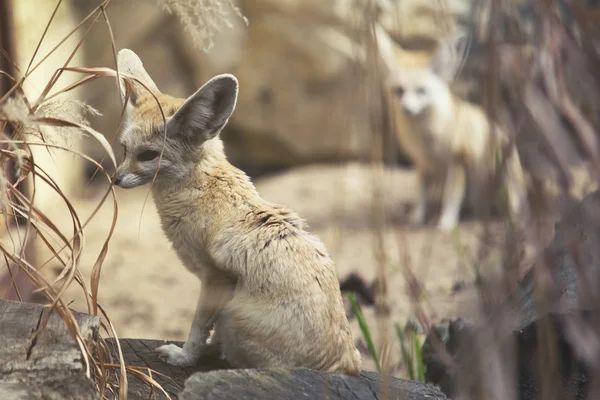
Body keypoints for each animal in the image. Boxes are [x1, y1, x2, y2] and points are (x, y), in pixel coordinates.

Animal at [111, 49, 360, 376]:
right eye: (124, 150)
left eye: (149, 156)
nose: (114, 179)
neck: (203, 186)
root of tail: (345, 364)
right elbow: (208, 331)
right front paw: (200, 351)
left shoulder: (215, 280)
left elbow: (198, 326)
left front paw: (185, 356)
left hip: (233, 312)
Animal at [378, 26, 528, 230]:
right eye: (399, 91)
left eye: (421, 91)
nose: (406, 109)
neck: (426, 141)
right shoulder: (422, 164)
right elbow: (421, 195)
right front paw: (417, 217)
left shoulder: (457, 161)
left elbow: (452, 197)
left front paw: (446, 223)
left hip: (504, 166)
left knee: (511, 203)